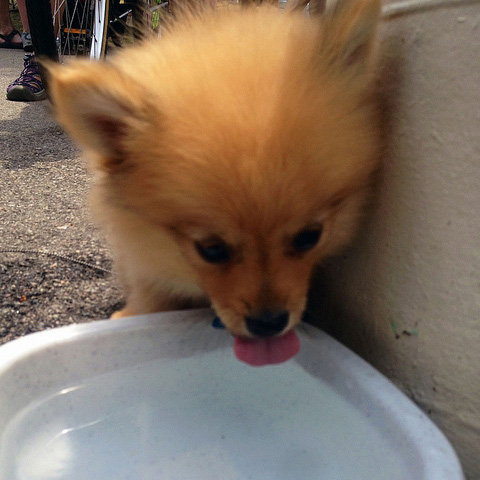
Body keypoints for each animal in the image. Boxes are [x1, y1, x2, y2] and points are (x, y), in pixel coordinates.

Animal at [47, 0, 380, 366]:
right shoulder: (145, 264)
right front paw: (132, 315)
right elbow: (151, 294)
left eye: (310, 237)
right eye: (212, 251)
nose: (269, 322)